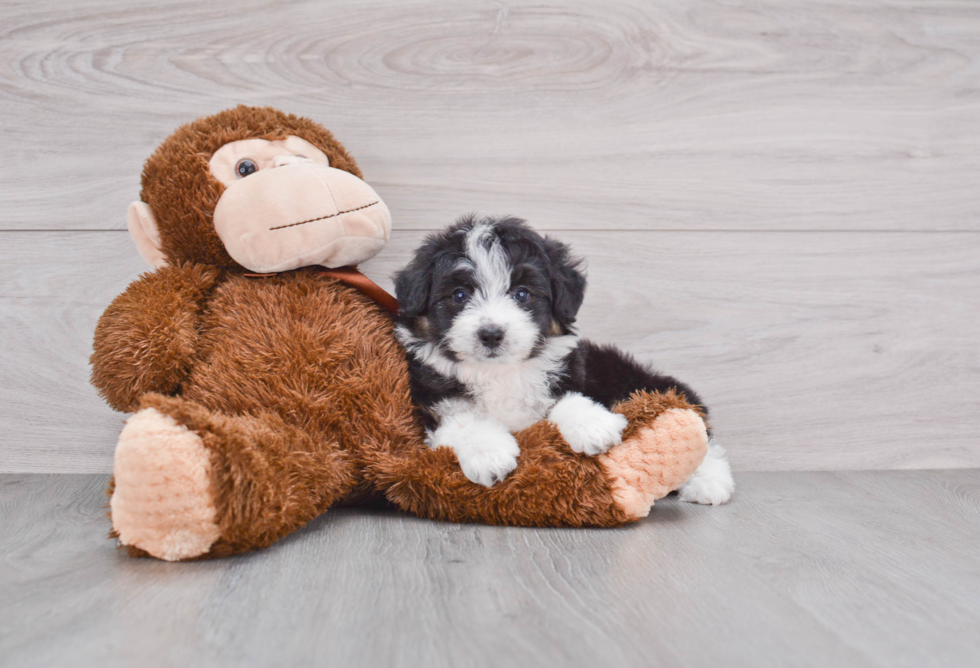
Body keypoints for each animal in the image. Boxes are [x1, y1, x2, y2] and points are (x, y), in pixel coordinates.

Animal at [394, 217, 732, 504]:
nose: (491, 334)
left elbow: (569, 398)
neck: (501, 373)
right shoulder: (431, 399)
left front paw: (593, 426)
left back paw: (709, 481)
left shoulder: (573, 371)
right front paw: (489, 453)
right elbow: (462, 418)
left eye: (522, 294)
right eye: (460, 295)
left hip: (628, 376)